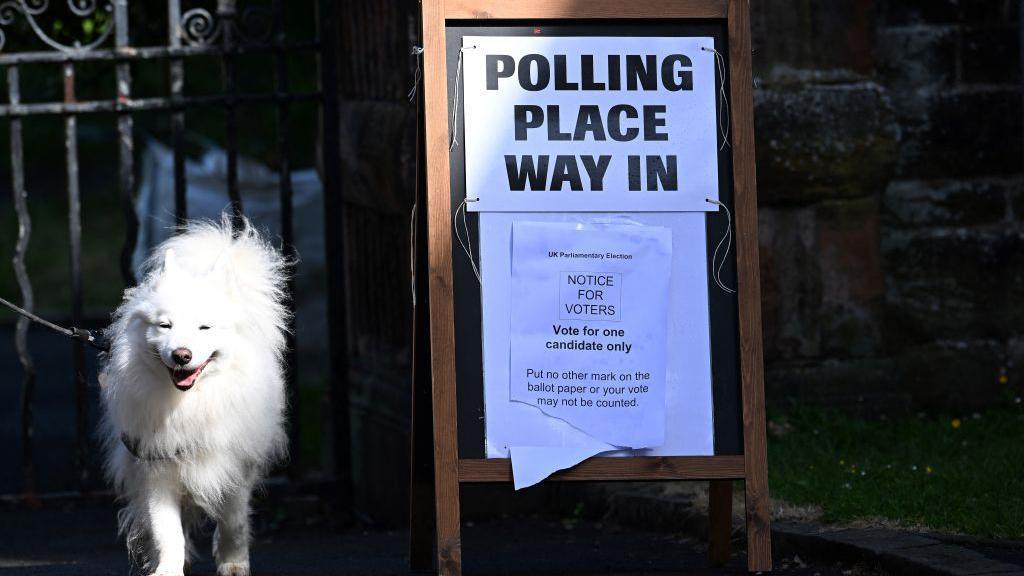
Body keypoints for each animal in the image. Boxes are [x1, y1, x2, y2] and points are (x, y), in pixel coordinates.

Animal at [99, 216, 288, 573]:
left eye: (204, 328)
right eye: (165, 326)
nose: (181, 355)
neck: (191, 403)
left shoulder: (234, 466)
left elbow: (233, 521)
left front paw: (233, 563)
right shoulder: (156, 469)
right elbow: (166, 530)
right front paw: (168, 568)